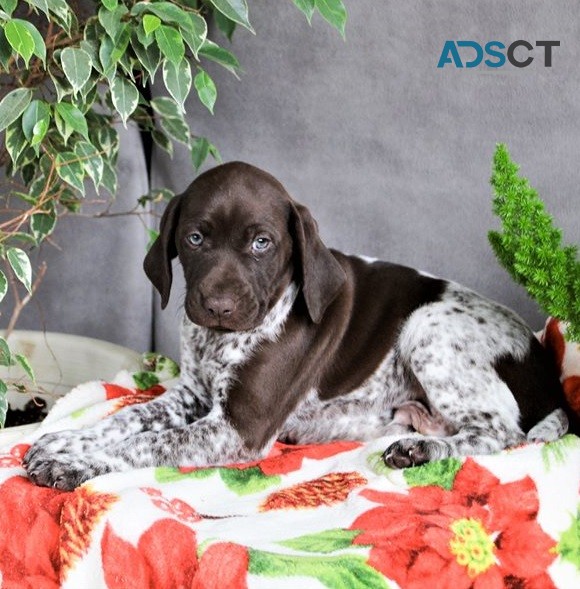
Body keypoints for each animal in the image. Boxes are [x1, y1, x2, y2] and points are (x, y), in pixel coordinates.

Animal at [24, 163, 568, 490]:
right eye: (195, 238)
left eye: (261, 243)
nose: (218, 306)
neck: (220, 340)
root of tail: (546, 365)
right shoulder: (192, 395)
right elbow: (127, 418)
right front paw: (67, 441)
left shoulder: (238, 429)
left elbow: (145, 442)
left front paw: (75, 463)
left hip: (428, 327)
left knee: (503, 430)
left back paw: (421, 449)